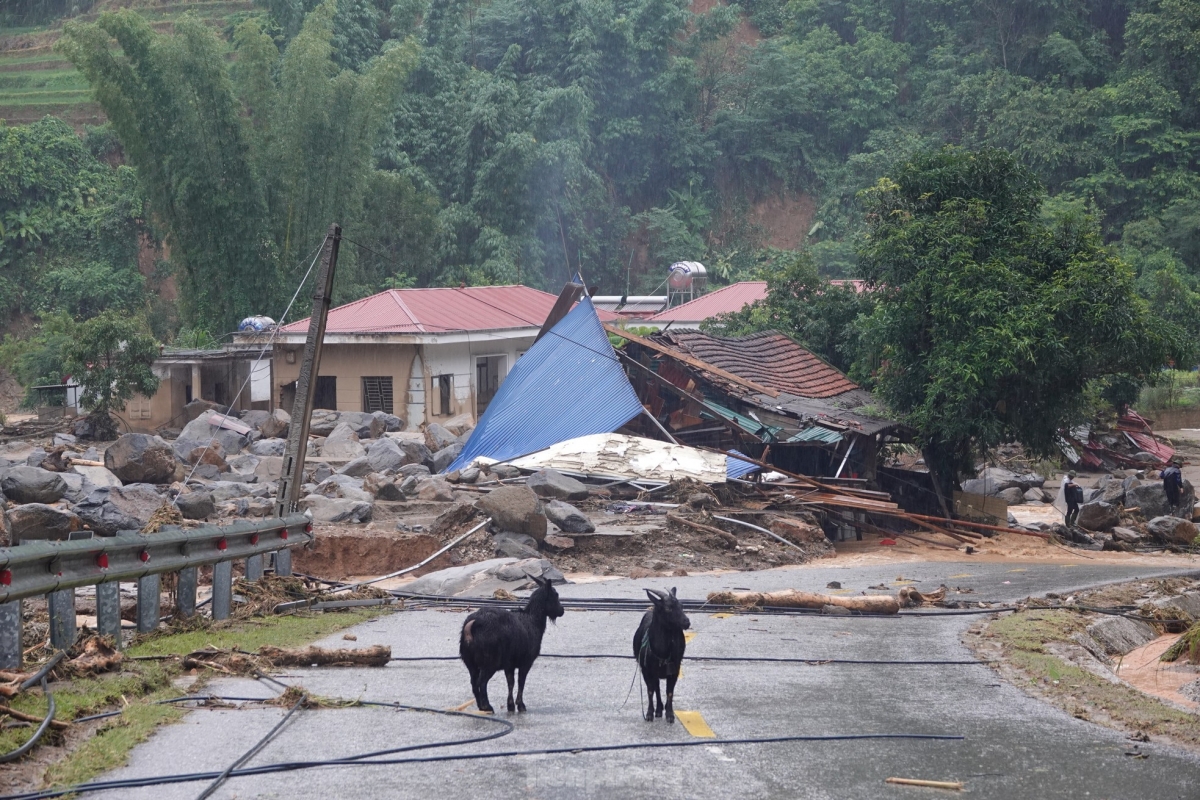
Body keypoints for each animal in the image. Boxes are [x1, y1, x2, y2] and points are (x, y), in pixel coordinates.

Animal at [456, 575, 564, 714]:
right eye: (555, 595)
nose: (561, 610)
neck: (534, 621)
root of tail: (471, 626)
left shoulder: (509, 664)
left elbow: (510, 682)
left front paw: (510, 706)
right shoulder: (526, 661)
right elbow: (521, 682)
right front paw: (521, 705)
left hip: (470, 662)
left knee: (474, 683)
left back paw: (481, 706)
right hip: (489, 661)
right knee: (481, 682)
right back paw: (487, 707)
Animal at [633, 585, 691, 724]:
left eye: (681, 605)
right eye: (668, 608)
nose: (687, 622)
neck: (662, 652)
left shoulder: (674, 670)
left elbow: (669, 692)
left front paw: (670, 714)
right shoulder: (646, 670)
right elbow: (650, 690)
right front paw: (649, 714)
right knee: (656, 687)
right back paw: (658, 709)